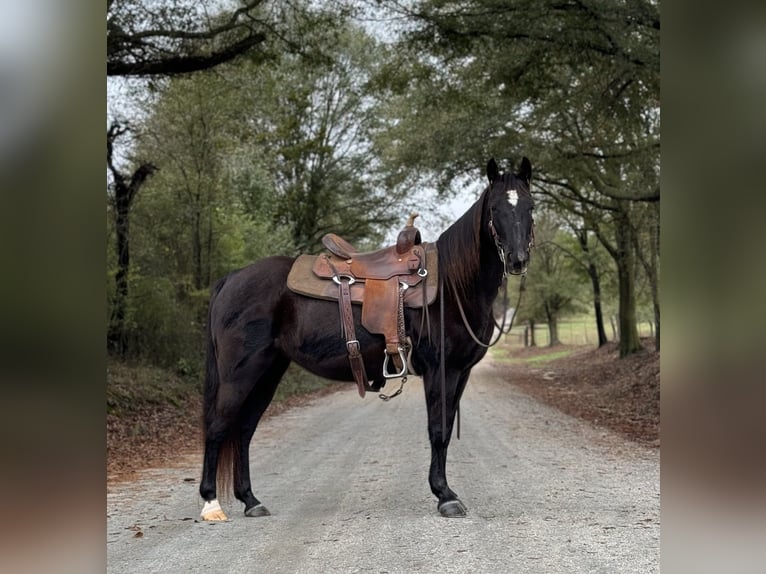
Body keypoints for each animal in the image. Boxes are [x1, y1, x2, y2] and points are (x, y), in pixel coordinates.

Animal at [200, 158, 536, 520]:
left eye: (530, 206)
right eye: (496, 208)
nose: (518, 259)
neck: (453, 284)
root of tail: (232, 278)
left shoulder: (461, 371)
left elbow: (445, 430)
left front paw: (445, 491)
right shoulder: (440, 370)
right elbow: (437, 429)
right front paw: (444, 495)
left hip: (268, 372)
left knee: (244, 430)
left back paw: (251, 500)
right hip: (240, 372)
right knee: (219, 426)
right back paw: (211, 504)